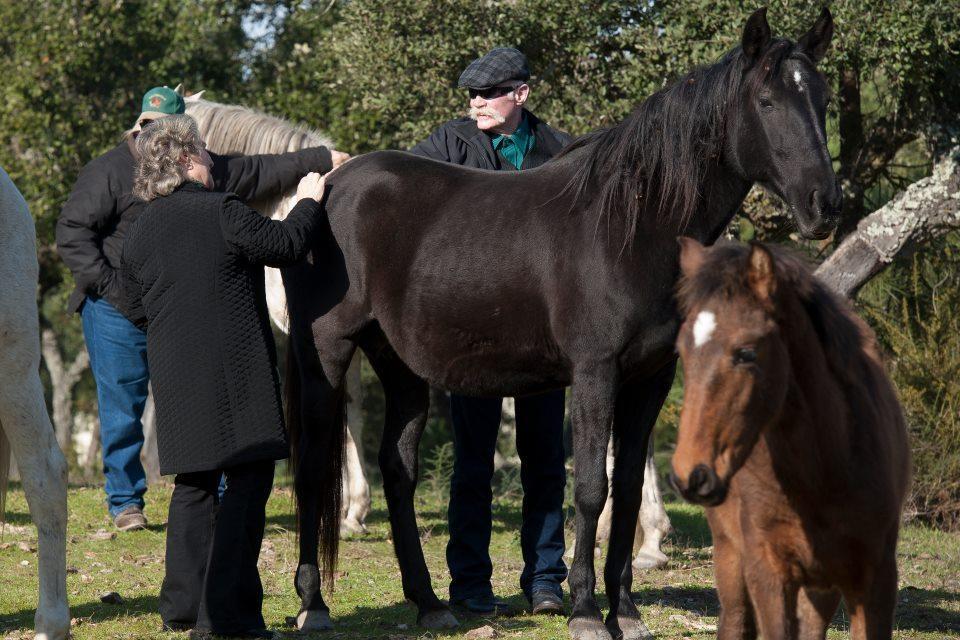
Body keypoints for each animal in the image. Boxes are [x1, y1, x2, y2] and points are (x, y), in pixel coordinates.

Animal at [284, 6, 840, 640]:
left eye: (823, 98)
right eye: (767, 101)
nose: (824, 206)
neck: (633, 223)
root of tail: (328, 190)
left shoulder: (650, 377)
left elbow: (627, 488)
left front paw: (626, 611)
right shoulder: (597, 372)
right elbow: (592, 488)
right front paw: (586, 611)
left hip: (399, 366)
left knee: (398, 470)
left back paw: (429, 603)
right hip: (326, 353)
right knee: (311, 468)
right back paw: (314, 604)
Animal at [672, 240, 912, 640]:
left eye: (747, 352)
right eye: (682, 350)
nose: (690, 474)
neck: (826, 470)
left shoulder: (875, 580)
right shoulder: (769, 573)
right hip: (730, 554)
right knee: (735, 620)